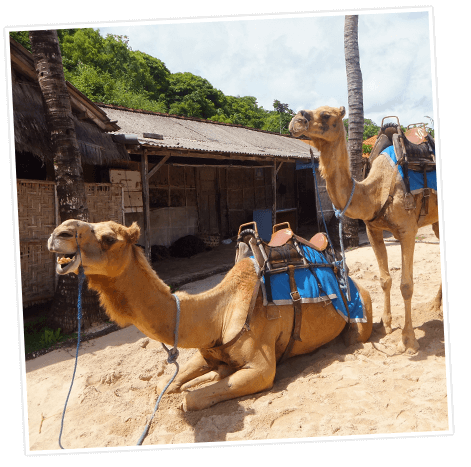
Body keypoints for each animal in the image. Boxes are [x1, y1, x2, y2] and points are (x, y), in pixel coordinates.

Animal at [48, 219, 372, 410]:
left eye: (109, 238)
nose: (58, 233)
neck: (219, 314)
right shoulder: (207, 350)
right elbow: (167, 385)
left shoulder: (261, 368)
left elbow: (189, 400)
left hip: (362, 309)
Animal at [288, 105, 442, 354]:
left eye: (326, 115)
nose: (297, 120)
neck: (376, 191)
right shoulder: (373, 231)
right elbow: (385, 279)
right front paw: (385, 325)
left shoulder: (408, 230)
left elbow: (406, 285)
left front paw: (408, 340)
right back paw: (436, 305)